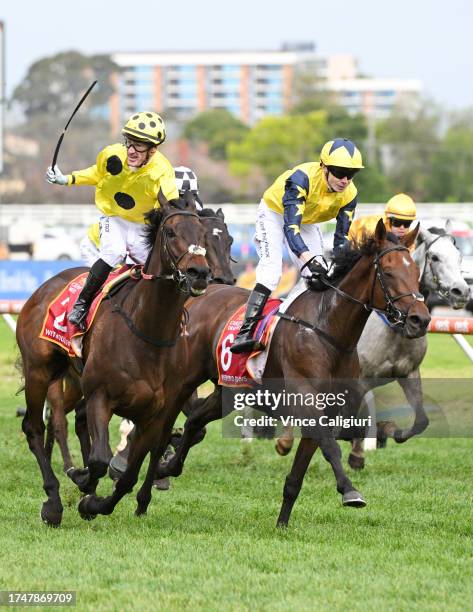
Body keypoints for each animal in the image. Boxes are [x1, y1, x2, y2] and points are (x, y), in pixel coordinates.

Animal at [16, 192, 208, 524]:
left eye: (204, 233)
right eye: (171, 233)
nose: (199, 273)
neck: (148, 332)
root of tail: (43, 288)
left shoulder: (155, 414)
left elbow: (128, 474)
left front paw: (95, 503)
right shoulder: (100, 397)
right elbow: (98, 460)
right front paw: (82, 484)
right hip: (38, 371)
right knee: (34, 427)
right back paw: (53, 501)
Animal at [78, 218, 432, 524]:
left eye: (416, 270)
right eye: (388, 272)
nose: (420, 318)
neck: (327, 331)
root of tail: (198, 293)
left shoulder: (326, 408)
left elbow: (299, 472)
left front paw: (282, 523)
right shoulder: (307, 402)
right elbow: (331, 448)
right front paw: (350, 491)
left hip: (227, 391)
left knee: (194, 422)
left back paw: (165, 471)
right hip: (181, 386)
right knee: (164, 432)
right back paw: (142, 484)